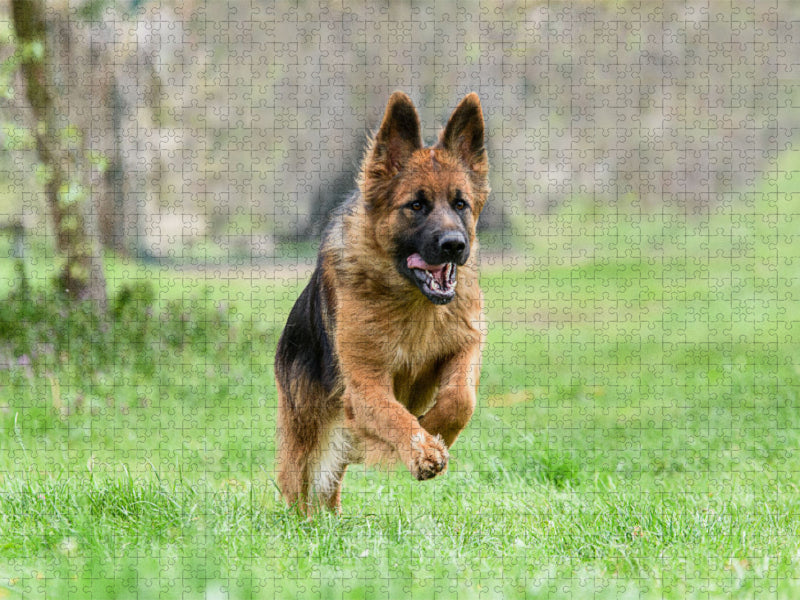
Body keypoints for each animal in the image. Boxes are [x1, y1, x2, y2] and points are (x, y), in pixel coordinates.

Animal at [274, 91, 488, 512]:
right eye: (416, 206)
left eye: (460, 204)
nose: (455, 245)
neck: (413, 301)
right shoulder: (365, 384)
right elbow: (393, 415)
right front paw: (421, 448)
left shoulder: (465, 343)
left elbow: (460, 398)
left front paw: (432, 430)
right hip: (305, 435)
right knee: (300, 485)